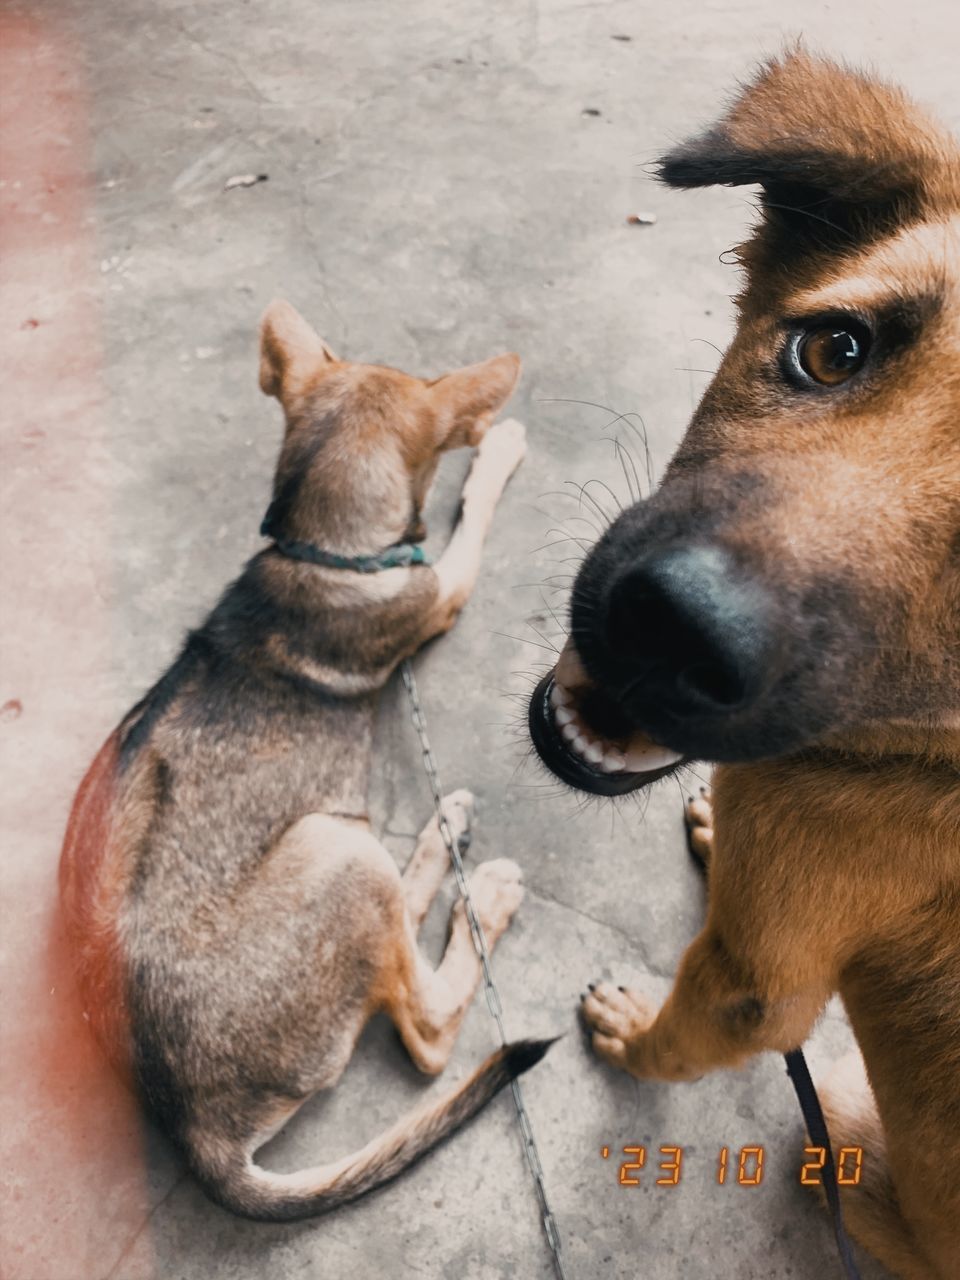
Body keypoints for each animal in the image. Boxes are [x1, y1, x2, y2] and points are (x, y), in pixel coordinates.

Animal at [60, 299, 552, 1218]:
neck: (321, 545)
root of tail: (199, 1134)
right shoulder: (438, 589)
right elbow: (473, 513)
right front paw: (497, 449)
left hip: (340, 847)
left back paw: (443, 835)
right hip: (335, 851)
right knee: (428, 1030)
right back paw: (485, 892)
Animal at [529, 49, 957, 1280]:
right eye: (832, 346)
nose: (670, 628)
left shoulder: (752, 988)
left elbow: (683, 1030)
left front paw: (628, 1029)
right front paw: (713, 831)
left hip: (850, 1130)